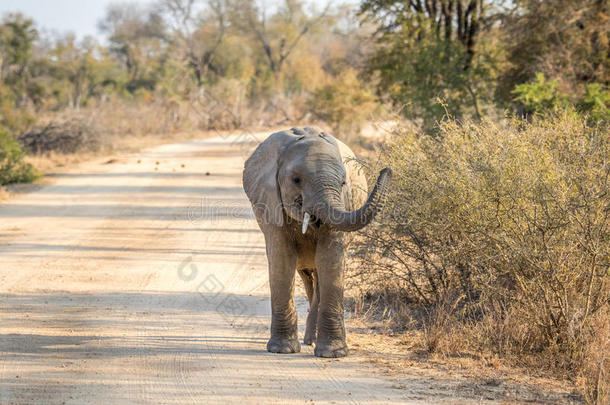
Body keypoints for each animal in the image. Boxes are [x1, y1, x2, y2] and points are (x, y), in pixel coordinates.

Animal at [241, 126, 390, 356]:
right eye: (296, 180)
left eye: (343, 183)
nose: (387, 170)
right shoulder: (270, 204)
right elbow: (282, 259)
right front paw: (282, 350)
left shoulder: (343, 202)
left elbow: (329, 258)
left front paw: (334, 354)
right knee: (307, 278)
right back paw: (308, 340)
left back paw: (313, 341)